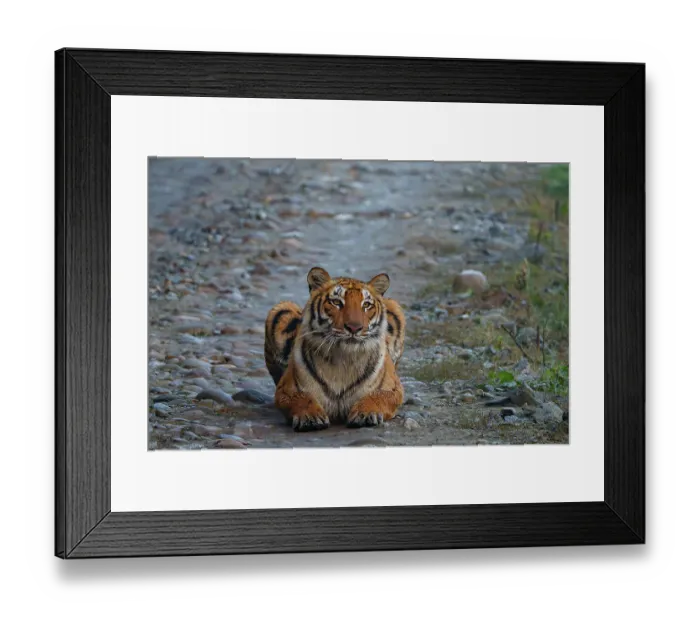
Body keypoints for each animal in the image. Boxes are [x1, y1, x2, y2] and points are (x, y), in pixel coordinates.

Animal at [264, 267, 405, 432]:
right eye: (336, 302)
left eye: (366, 305)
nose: (354, 327)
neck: (343, 358)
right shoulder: (285, 389)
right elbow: (302, 398)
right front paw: (310, 417)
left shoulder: (393, 389)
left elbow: (377, 397)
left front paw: (365, 413)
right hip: (281, 310)